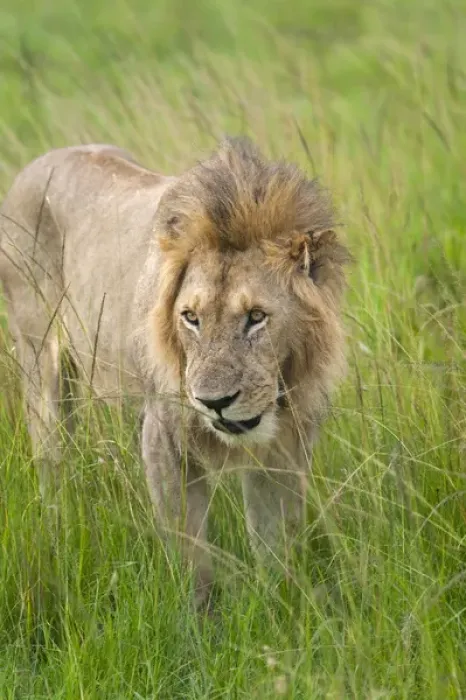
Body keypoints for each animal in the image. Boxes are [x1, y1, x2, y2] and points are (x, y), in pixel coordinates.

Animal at [0, 137, 350, 606]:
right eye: (191, 318)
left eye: (256, 317)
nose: (214, 403)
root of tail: (33, 165)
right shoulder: (163, 435)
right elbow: (191, 555)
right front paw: (202, 620)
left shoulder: (287, 448)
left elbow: (274, 546)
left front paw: (281, 607)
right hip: (41, 363)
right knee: (52, 464)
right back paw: (59, 536)